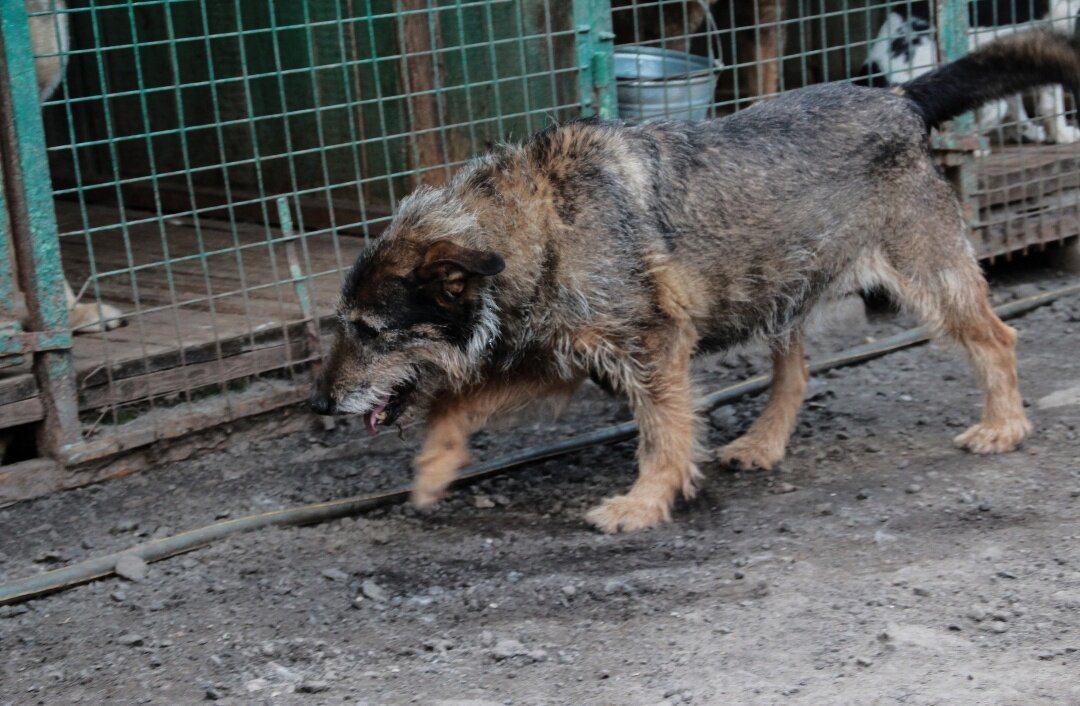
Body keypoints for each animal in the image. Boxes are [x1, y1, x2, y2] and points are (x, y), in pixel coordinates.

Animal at [313, 31, 1080, 531]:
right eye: (342, 327)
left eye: (371, 332)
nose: (319, 406)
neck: (537, 228)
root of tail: (898, 99)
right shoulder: (552, 358)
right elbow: (454, 403)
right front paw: (434, 468)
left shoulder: (654, 350)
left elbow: (663, 433)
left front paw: (645, 502)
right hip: (776, 287)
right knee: (795, 374)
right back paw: (764, 444)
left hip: (931, 278)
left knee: (997, 337)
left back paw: (1004, 425)